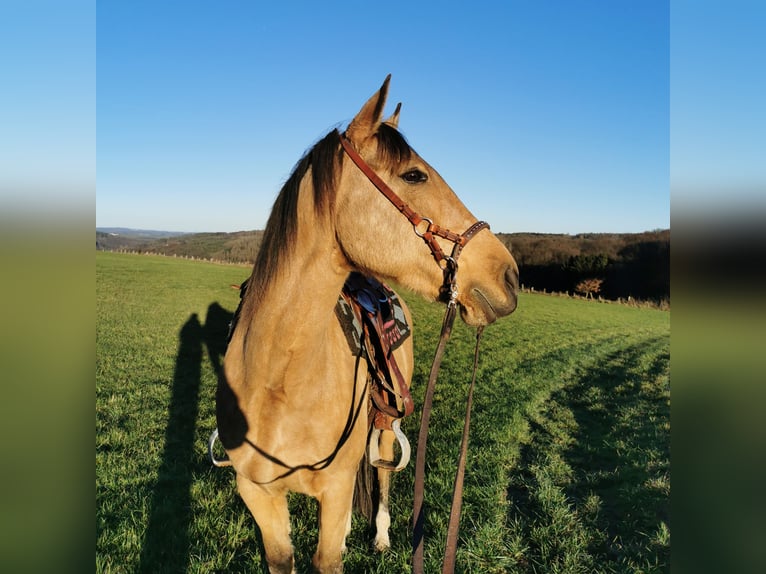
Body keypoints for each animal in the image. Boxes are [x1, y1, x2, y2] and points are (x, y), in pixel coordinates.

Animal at [213, 77, 520, 574]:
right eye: (414, 175)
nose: (508, 275)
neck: (278, 378)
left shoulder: (334, 490)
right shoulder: (258, 496)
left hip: (385, 423)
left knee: (381, 473)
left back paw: (379, 535)